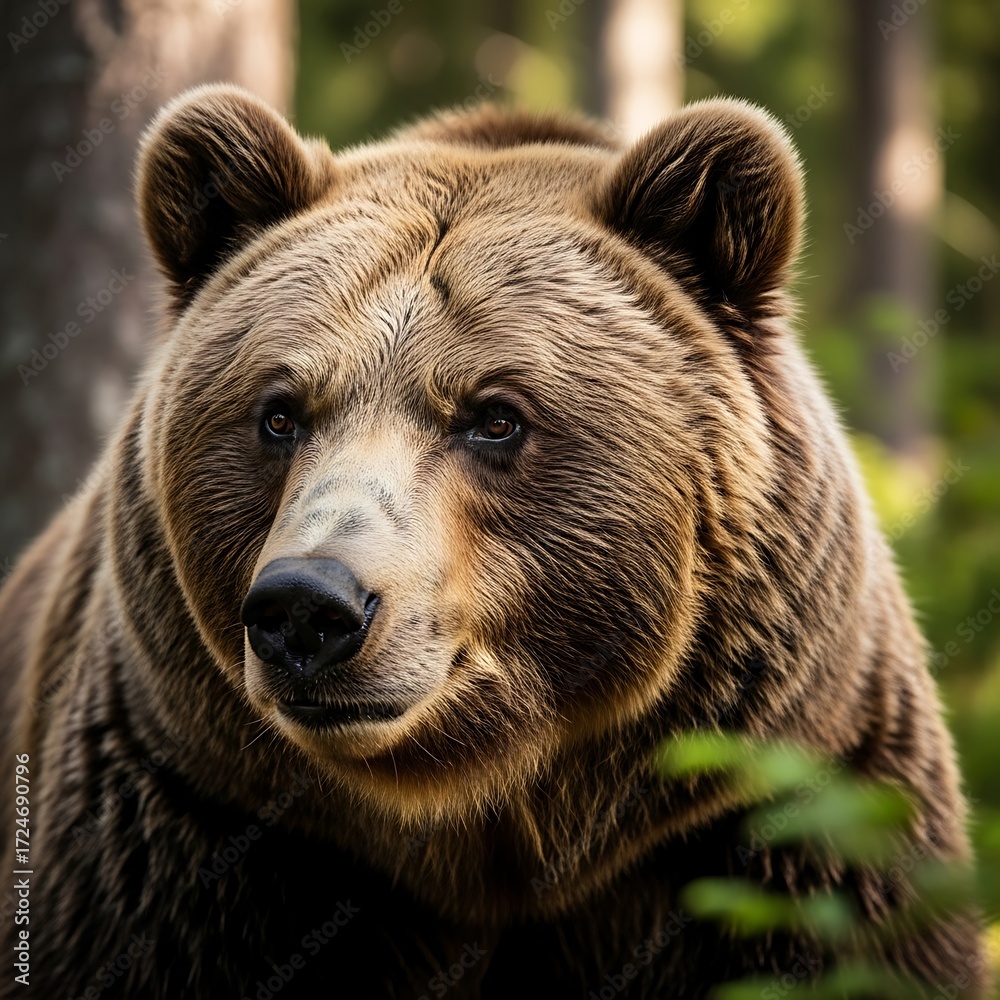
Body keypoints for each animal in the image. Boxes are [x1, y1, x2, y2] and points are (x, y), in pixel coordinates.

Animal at [0, 84, 986, 999]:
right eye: (278, 412)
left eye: (495, 416)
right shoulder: (188, 826)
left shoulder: (785, 811)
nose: (308, 606)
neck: (486, 825)